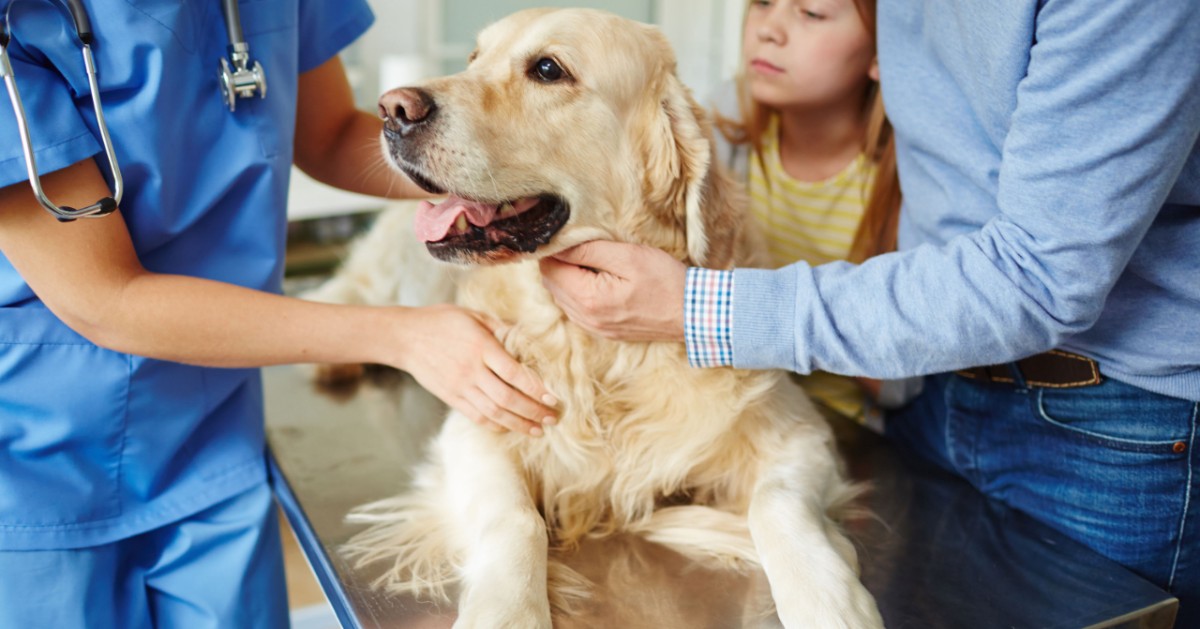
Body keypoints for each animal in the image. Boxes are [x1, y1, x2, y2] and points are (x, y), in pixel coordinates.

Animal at [312, 8, 883, 629]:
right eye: (473, 58)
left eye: (548, 69)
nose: (392, 109)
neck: (598, 351)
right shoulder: (477, 424)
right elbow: (517, 519)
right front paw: (509, 610)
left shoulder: (800, 432)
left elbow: (777, 505)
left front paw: (831, 601)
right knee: (344, 291)